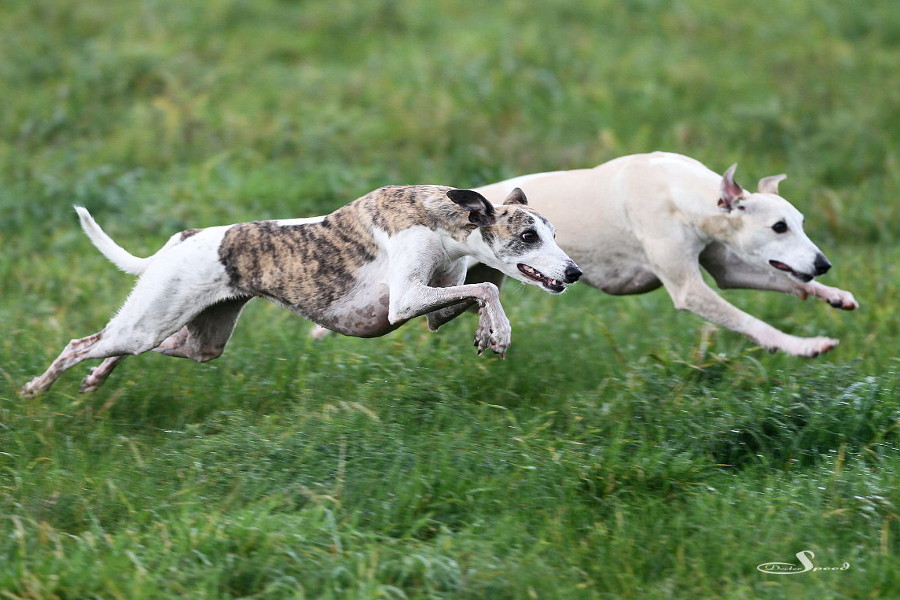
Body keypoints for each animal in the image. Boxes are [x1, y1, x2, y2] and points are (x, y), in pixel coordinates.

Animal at [24, 185, 584, 396]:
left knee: (127, 348)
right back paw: (37, 388)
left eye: (555, 233)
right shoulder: (404, 300)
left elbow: (482, 287)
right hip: (149, 321)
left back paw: (96, 378)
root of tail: (179, 241)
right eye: (529, 236)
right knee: (81, 343)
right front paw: (501, 334)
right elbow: (489, 284)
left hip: (199, 340)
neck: (440, 217)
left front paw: (489, 334)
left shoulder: (432, 304)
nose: (575, 271)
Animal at [474, 152, 856, 356]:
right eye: (779, 227)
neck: (677, 188)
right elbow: (751, 321)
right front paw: (803, 346)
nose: (823, 264)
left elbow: (792, 282)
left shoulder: (728, 269)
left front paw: (835, 295)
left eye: (800, 222)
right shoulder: (690, 289)